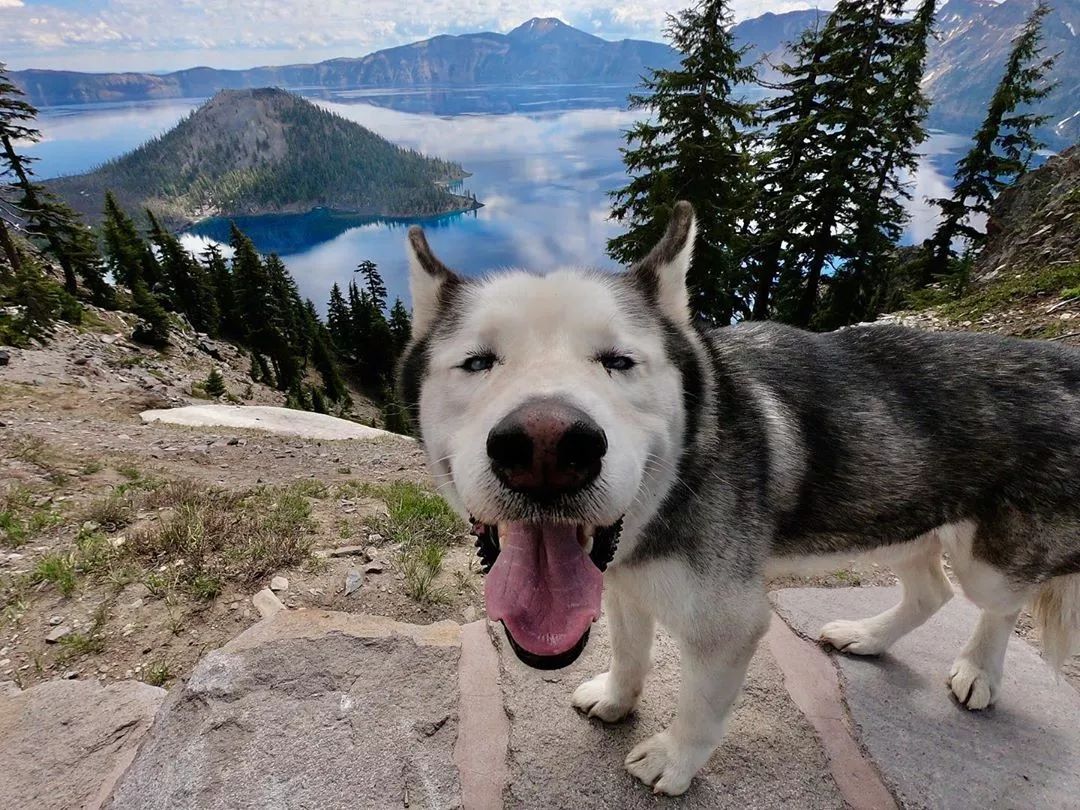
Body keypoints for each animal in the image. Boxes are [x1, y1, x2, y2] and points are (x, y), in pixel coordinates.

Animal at [395, 203, 1080, 799]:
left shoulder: (727, 621)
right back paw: (867, 635)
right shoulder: (624, 582)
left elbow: (699, 706)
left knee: (1001, 604)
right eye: (477, 362)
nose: (545, 448)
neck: (674, 484)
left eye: (619, 361)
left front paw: (673, 760)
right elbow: (629, 650)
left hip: (986, 561)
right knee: (931, 592)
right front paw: (617, 699)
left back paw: (979, 671)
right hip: (899, 513)